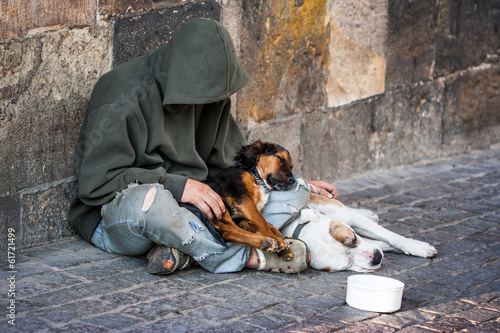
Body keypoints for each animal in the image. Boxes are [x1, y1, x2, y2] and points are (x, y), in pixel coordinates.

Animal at [282, 191, 438, 272]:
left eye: (354, 238)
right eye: (347, 264)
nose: (376, 258)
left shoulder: (351, 219)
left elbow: (390, 236)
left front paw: (418, 247)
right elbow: (382, 243)